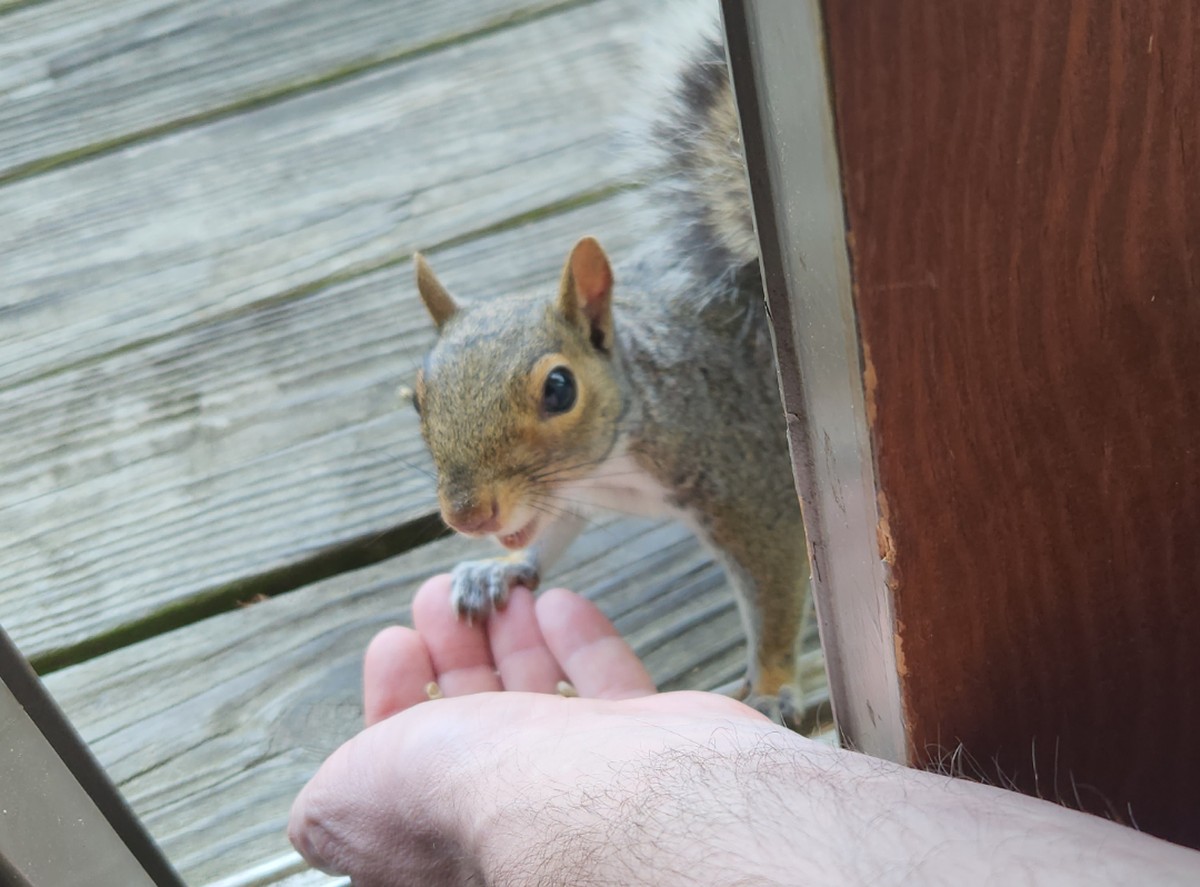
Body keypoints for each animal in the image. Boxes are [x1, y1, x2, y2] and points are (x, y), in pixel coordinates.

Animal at [407, 29, 811, 728]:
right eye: (416, 400)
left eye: (559, 389)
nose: (468, 515)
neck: (613, 465)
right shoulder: (565, 494)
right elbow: (546, 531)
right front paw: (500, 570)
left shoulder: (752, 488)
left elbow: (776, 591)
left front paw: (770, 686)